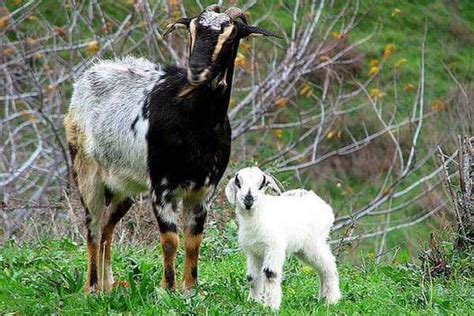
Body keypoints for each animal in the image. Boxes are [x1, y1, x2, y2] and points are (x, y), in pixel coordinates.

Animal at [63, 4, 278, 294]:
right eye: (192, 30)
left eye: (232, 34)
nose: (197, 70)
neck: (195, 120)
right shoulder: (161, 185)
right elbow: (169, 239)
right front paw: (167, 288)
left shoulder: (203, 189)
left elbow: (193, 239)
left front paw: (190, 287)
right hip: (86, 171)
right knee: (94, 227)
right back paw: (92, 288)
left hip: (124, 185)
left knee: (108, 226)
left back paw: (108, 285)